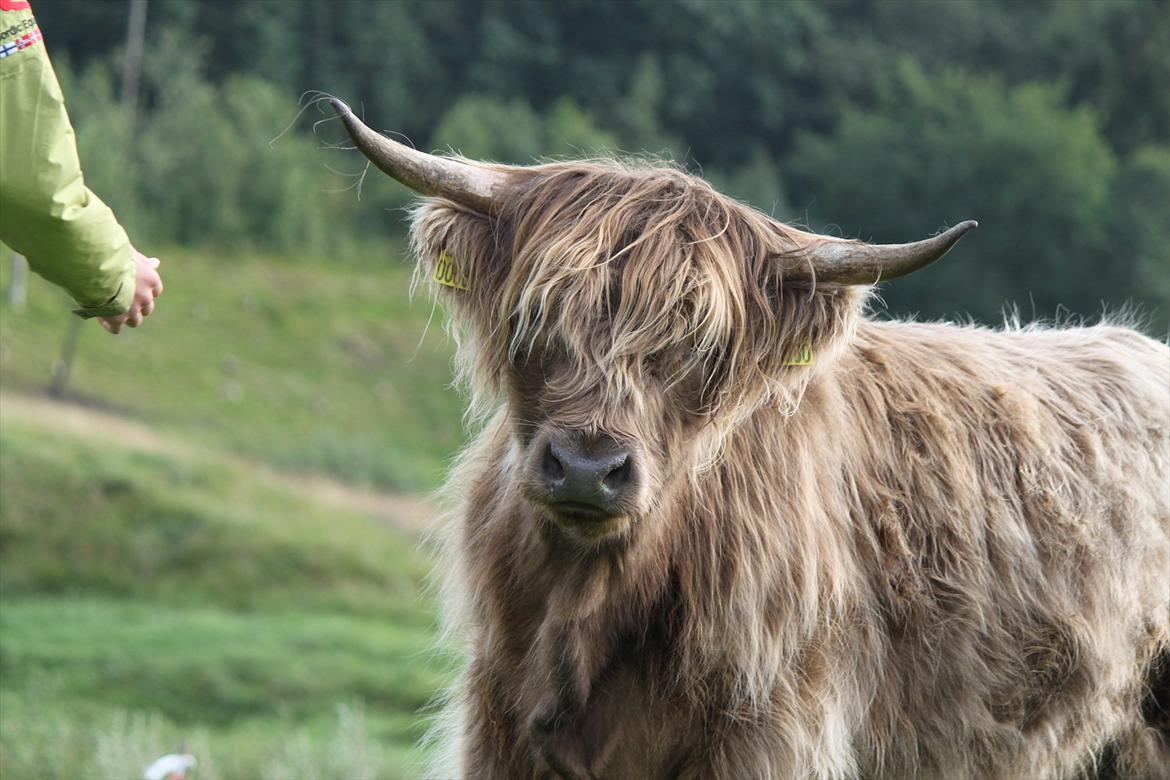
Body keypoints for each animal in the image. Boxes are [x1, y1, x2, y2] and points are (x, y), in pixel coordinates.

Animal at [330, 99, 1170, 779]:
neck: (594, 601)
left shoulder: (770, 731)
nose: (587, 469)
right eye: (534, 315)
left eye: (702, 348)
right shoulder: (500, 724)